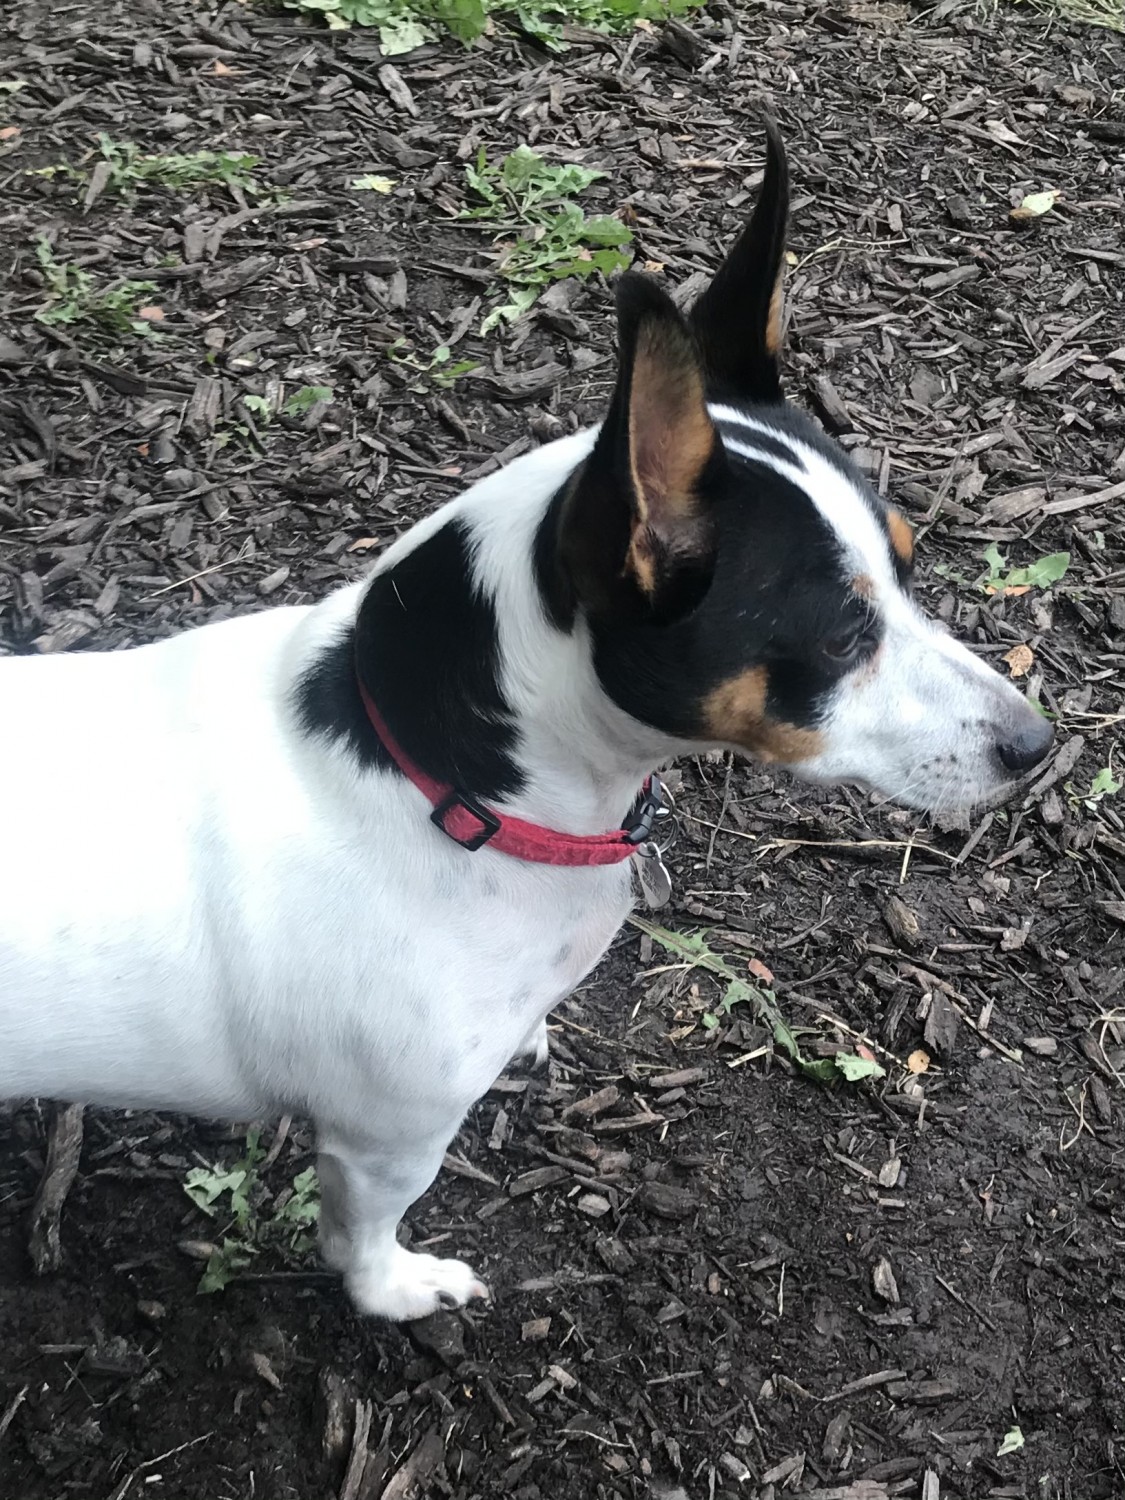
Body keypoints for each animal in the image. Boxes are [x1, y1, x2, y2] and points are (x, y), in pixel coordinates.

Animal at [2, 129, 1056, 1326]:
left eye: (910, 565)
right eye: (839, 635)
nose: (1036, 745)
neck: (431, 787)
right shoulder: (381, 1139)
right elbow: (360, 1241)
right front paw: (398, 1291)